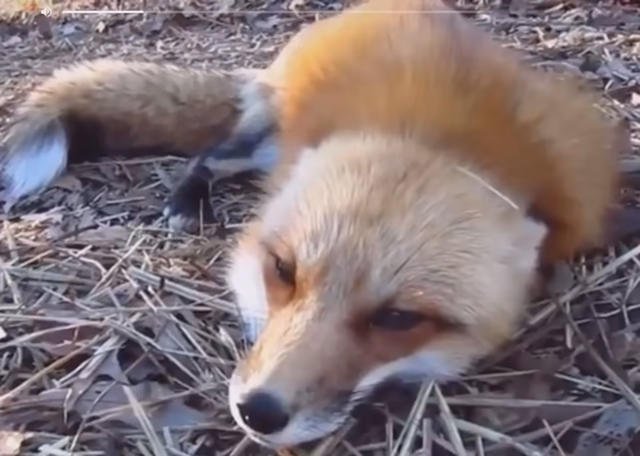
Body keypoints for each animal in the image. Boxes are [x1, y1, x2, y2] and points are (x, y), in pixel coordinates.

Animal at [0, 0, 626, 449]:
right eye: (282, 270)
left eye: (398, 318)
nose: (258, 411)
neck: (438, 133)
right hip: (264, 142)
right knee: (208, 155)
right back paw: (187, 201)